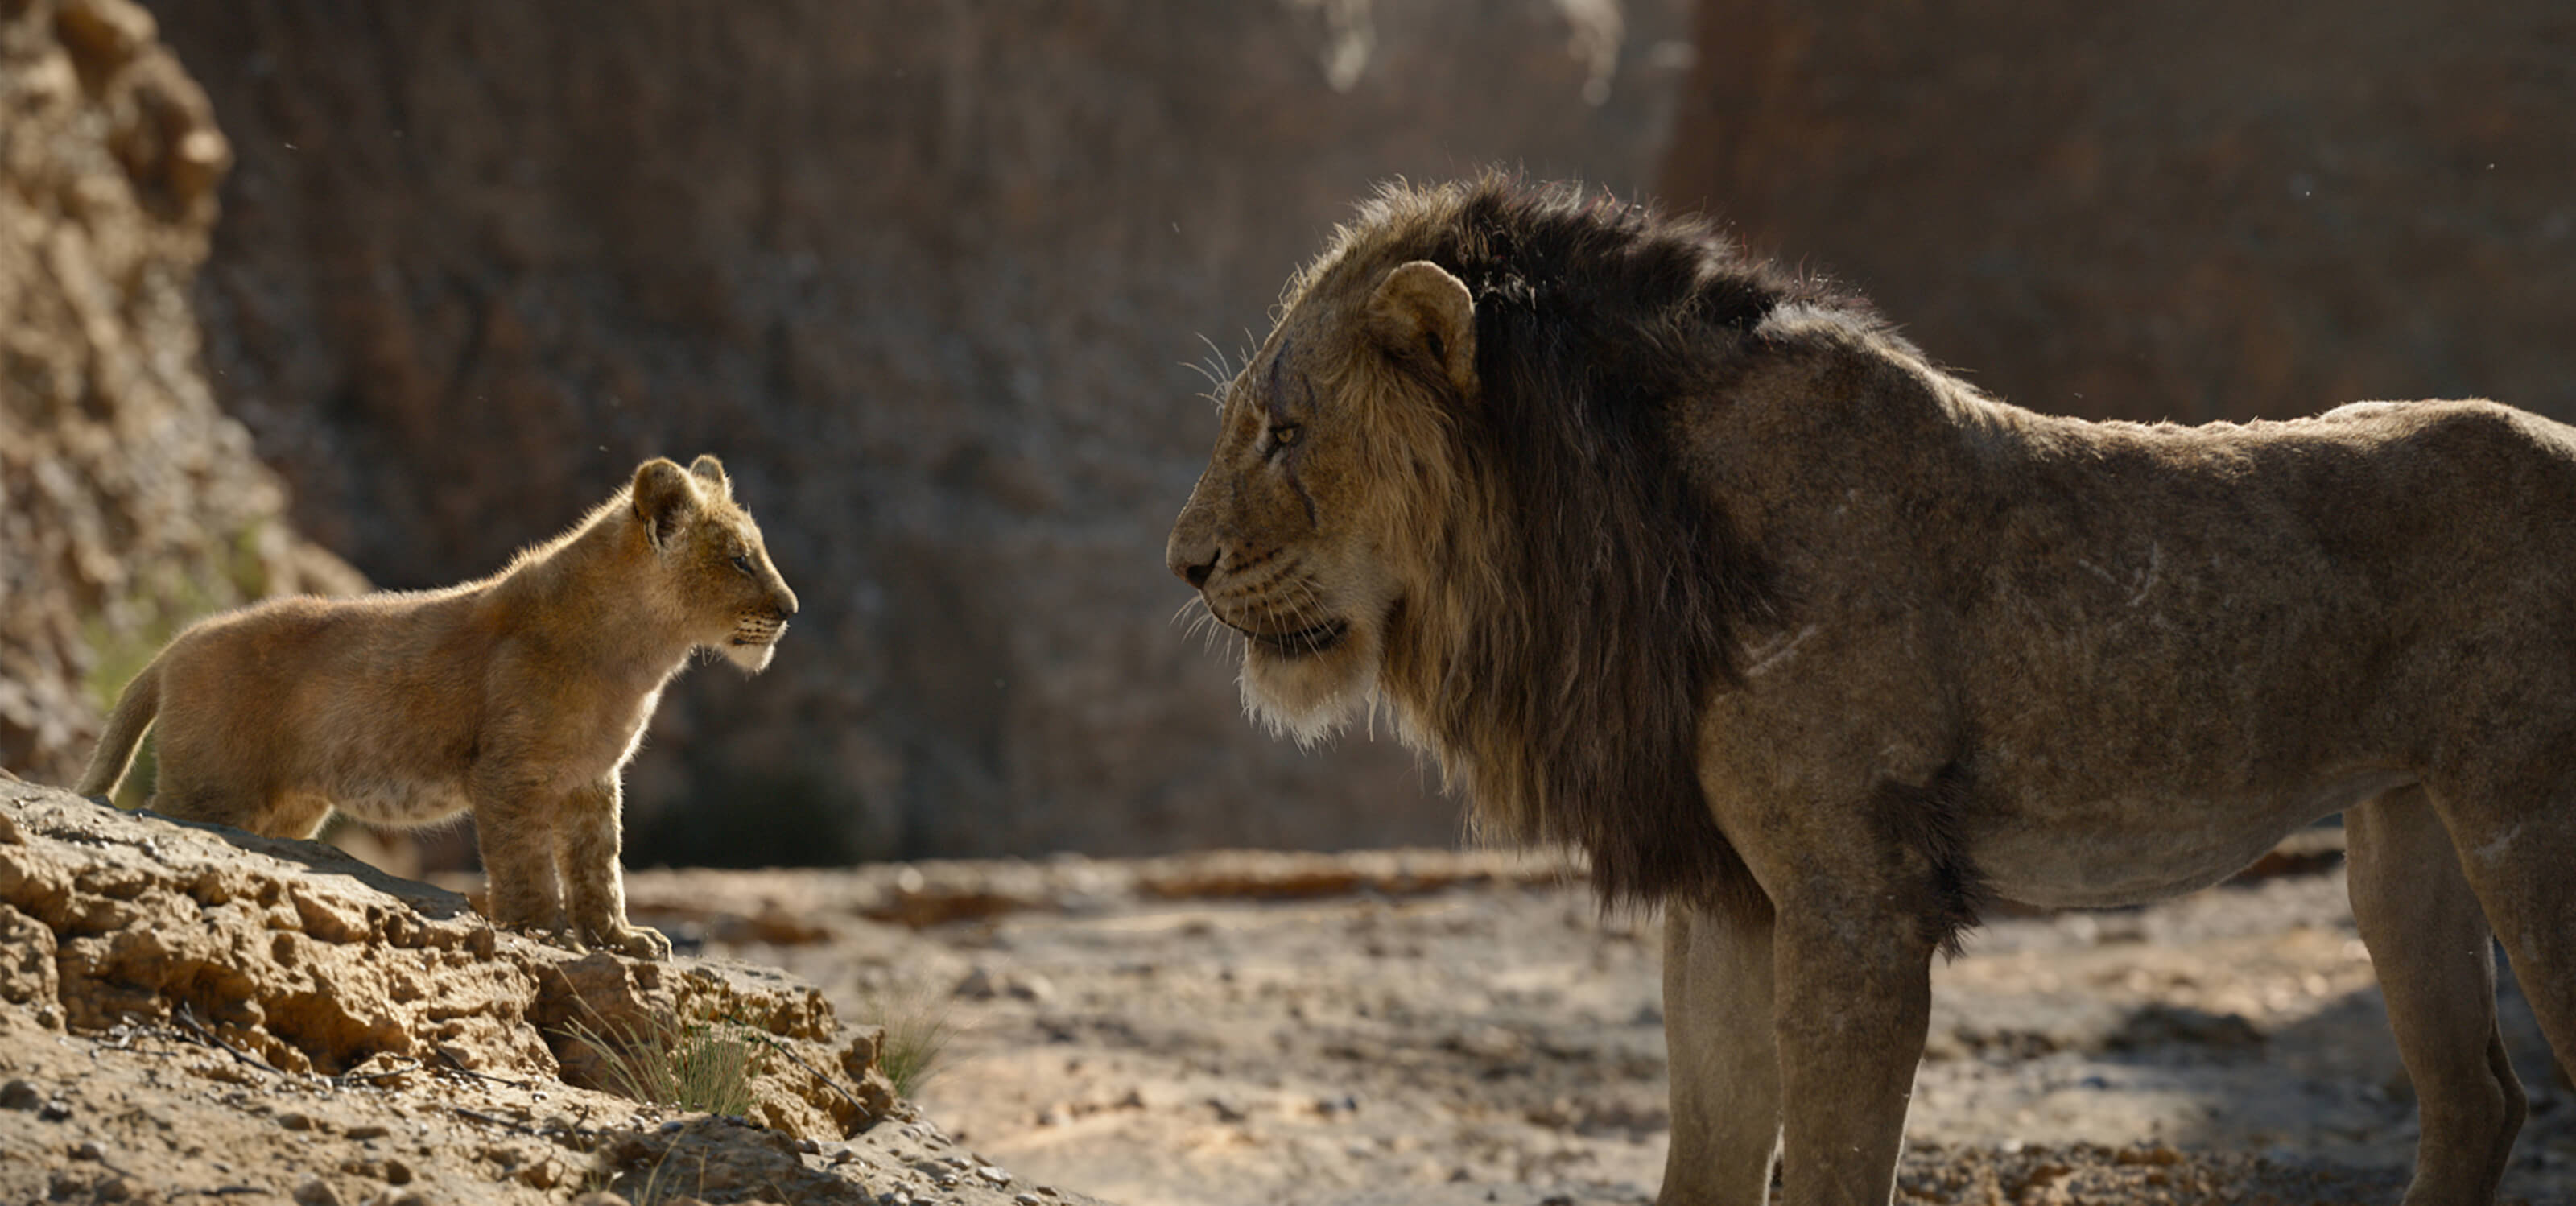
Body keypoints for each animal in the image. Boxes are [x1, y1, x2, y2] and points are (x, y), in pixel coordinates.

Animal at [1174, 171, 2576, 1206]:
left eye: (1285, 434)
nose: (1182, 563)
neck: (1610, 527)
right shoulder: (1727, 894)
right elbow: (1708, 1151)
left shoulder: (1858, 898)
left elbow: (1835, 1163)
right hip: (2405, 836)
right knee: (2481, 1100)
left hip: (2528, 825)